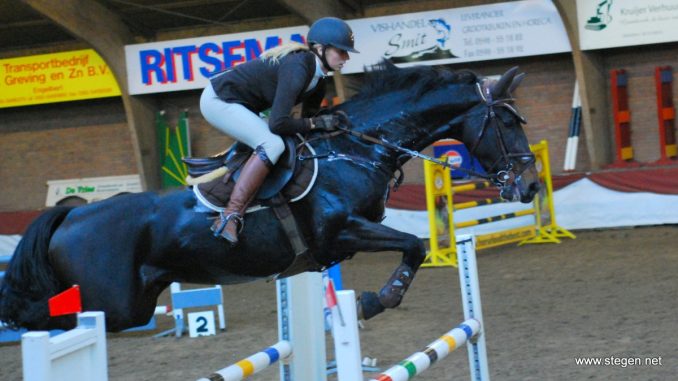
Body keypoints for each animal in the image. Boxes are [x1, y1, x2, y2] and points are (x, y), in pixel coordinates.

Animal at [0, 62, 540, 330]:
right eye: (507, 120)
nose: (532, 186)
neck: (357, 148)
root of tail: (70, 218)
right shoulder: (340, 231)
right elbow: (415, 245)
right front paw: (374, 301)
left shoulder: (344, 241)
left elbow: (412, 246)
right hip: (111, 303)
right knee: (39, 314)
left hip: (130, 303)